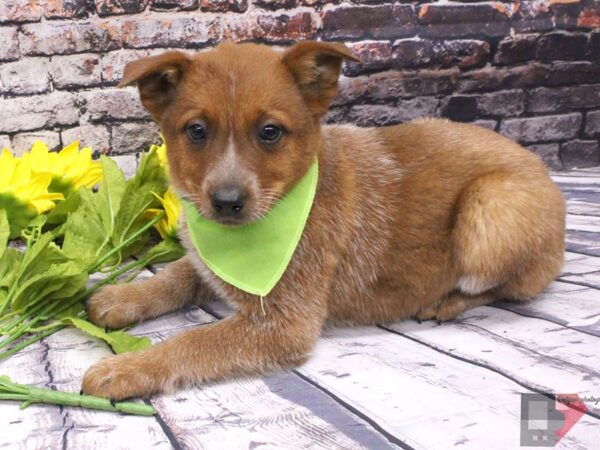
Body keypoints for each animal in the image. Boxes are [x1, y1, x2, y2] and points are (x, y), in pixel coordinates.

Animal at [82, 40, 564, 400]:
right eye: (197, 131)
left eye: (270, 132)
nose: (226, 202)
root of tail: (541, 167)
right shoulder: (207, 261)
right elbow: (179, 273)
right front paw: (123, 296)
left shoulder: (283, 325)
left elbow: (194, 341)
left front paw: (125, 367)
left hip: (491, 206)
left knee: (506, 285)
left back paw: (445, 302)